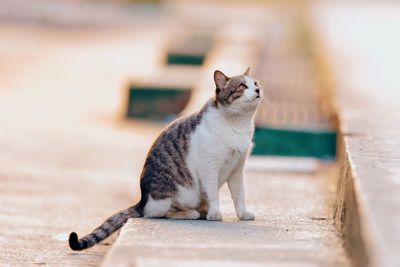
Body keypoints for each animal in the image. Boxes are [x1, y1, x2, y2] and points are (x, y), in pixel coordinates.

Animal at [69, 67, 262, 251]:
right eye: (242, 86)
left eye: (255, 83)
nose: (258, 89)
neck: (237, 124)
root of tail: (142, 201)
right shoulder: (209, 168)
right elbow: (213, 194)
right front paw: (214, 213)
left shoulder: (237, 170)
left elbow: (239, 195)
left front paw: (243, 214)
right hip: (181, 192)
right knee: (159, 212)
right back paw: (192, 213)